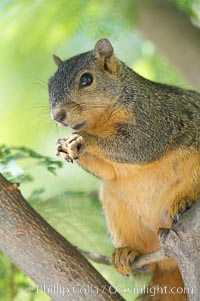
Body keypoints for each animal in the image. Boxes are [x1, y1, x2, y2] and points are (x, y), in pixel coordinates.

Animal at [48, 38, 200, 298]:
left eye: (86, 79)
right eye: (49, 85)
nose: (57, 116)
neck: (100, 122)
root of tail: (172, 263)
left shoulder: (153, 119)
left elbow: (139, 146)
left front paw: (84, 139)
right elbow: (107, 171)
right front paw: (63, 146)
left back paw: (184, 201)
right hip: (117, 211)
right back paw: (127, 254)